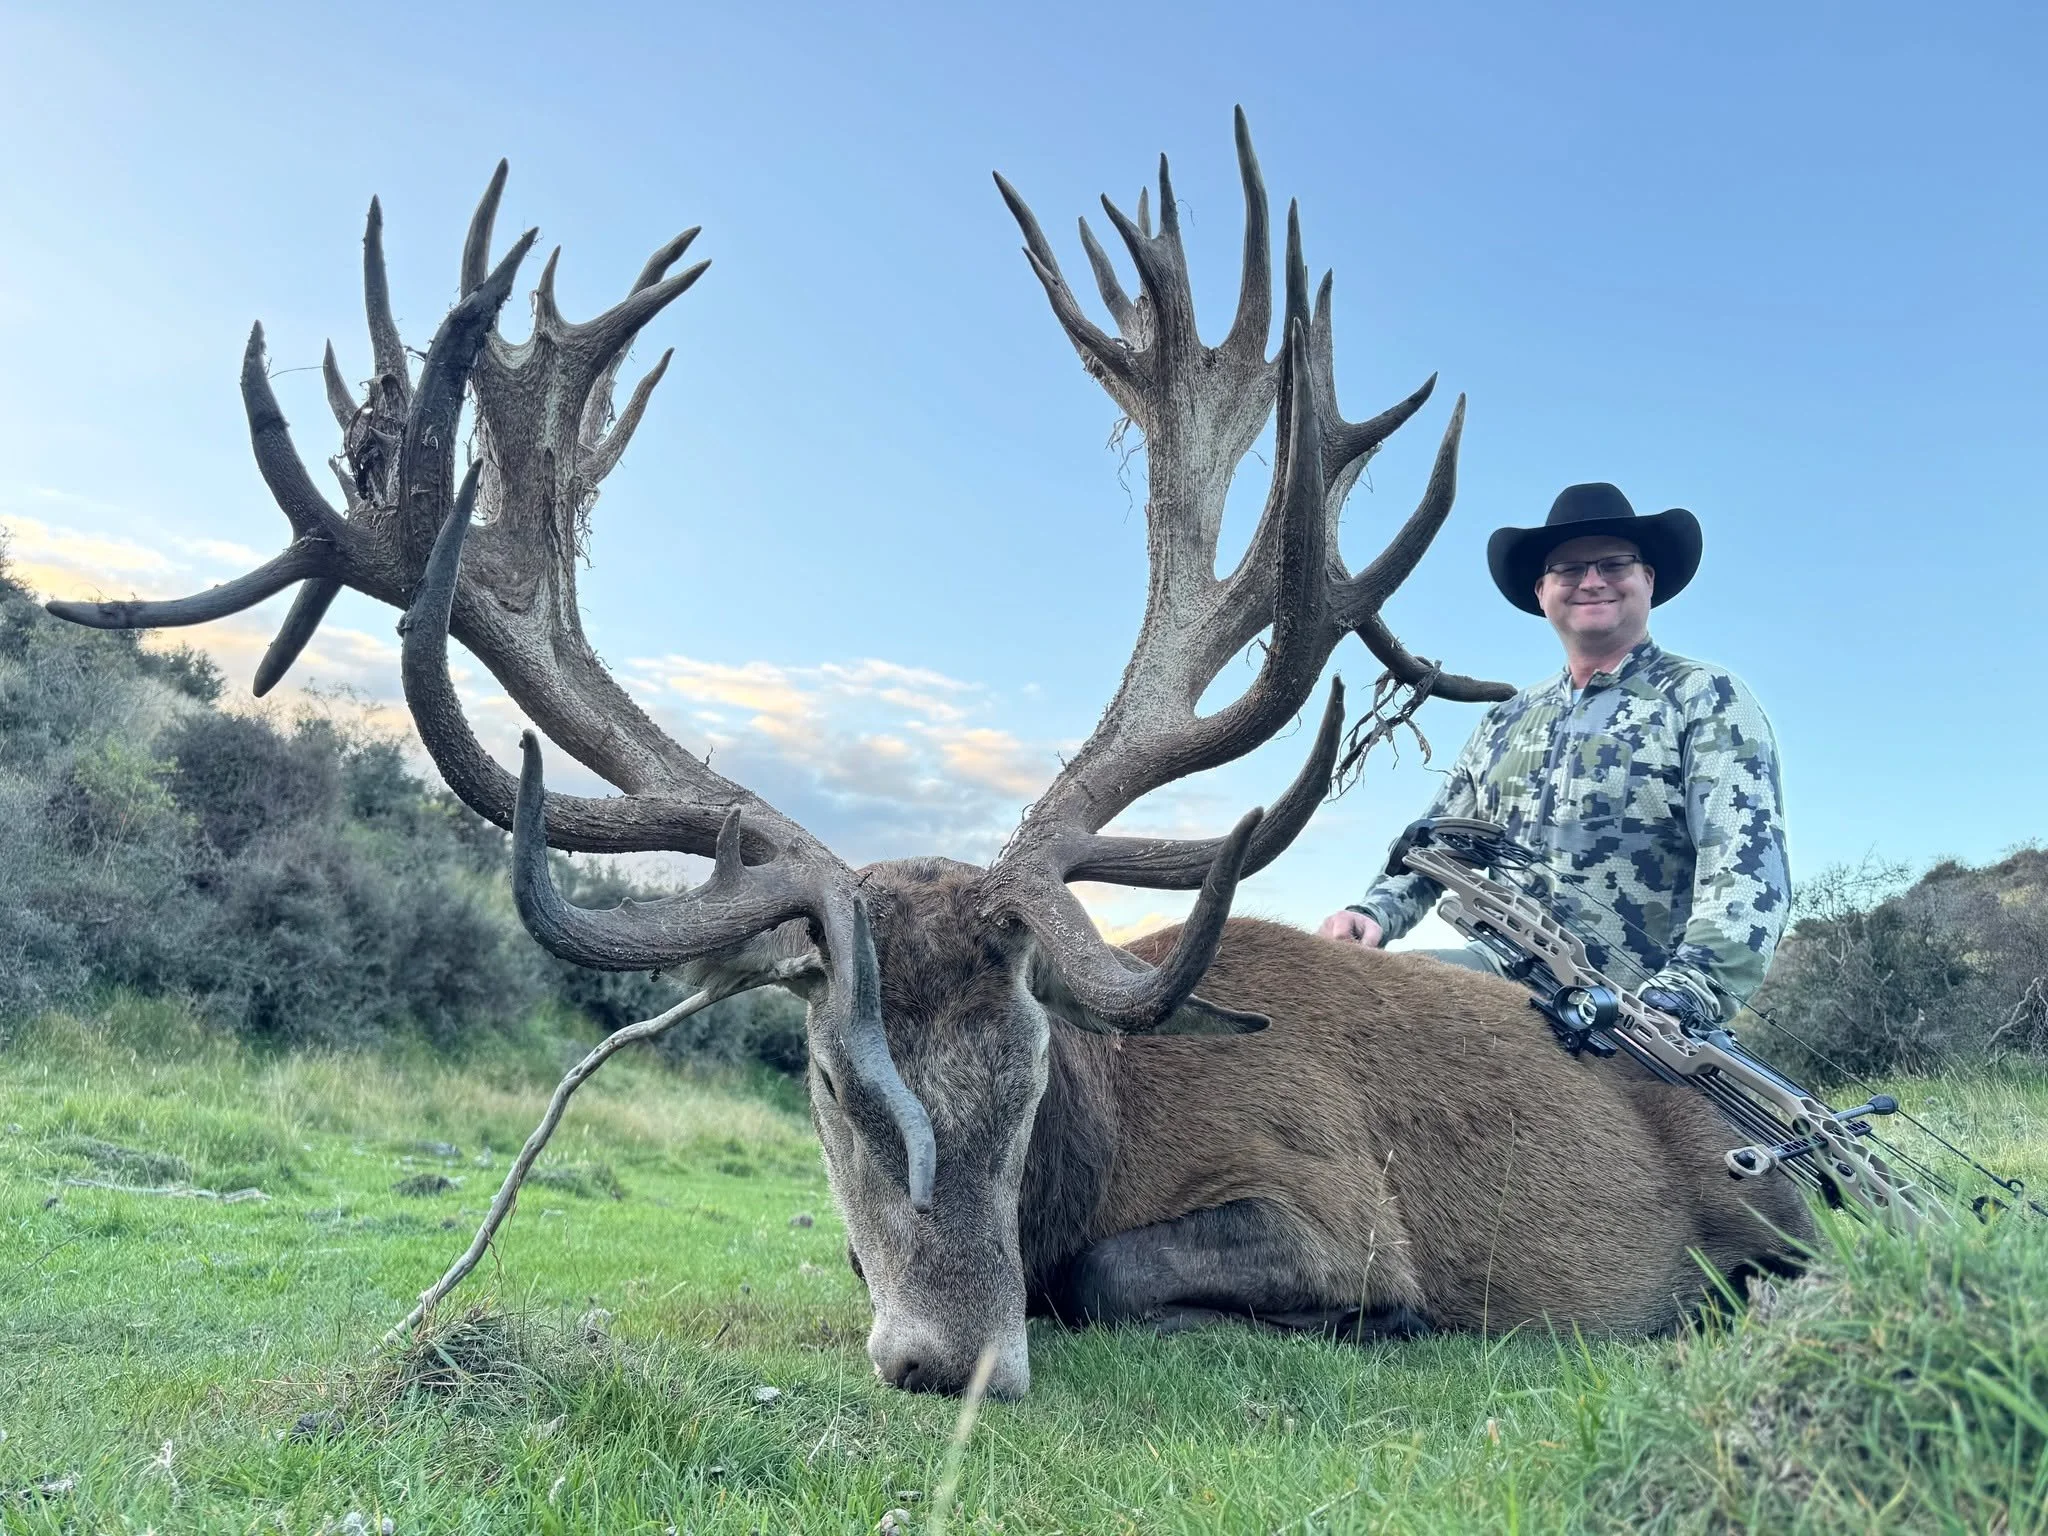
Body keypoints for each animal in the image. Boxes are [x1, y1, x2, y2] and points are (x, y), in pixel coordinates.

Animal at [50, 113, 1810, 1400]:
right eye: (828, 1077)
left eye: (1031, 1068)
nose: (953, 1361)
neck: (1111, 1126)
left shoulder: (1333, 1200)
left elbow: (1117, 1266)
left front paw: (1364, 1321)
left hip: (1766, 1206)